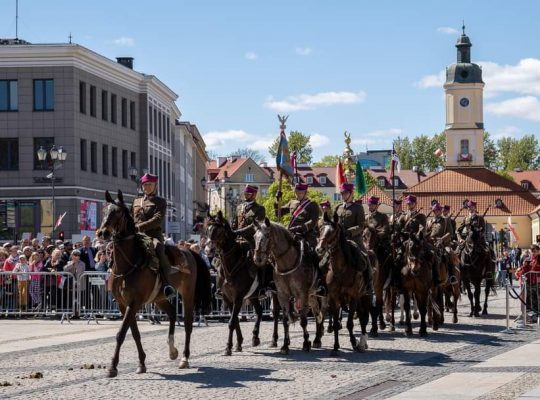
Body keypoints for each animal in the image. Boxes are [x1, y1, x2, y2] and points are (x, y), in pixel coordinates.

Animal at [99, 189, 213, 376]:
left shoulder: (134, 303)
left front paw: (112, 367)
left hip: (187, 293)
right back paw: (172, 350)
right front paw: (141, 363)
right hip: (159, 298)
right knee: (173, 314)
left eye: (118, 212)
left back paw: (184, 358)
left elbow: (121, 333)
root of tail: (189, 251)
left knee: (188, 323)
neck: (128, 264)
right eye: (104, 210)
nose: (102, 233)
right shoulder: (124, 305)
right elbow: (134, 333)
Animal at [205, 212, 276, 356]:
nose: (208, 250)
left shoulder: (238, 297)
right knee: (259, 311)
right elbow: (235, 319)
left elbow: (232, 321)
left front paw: (228, 347)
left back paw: (274, 340)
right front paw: (238, 343)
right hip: (253, 296)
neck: (232, 264)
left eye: (218, 231)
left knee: (277, 315)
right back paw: (255, 337)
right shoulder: (227, 298)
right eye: (207, 229)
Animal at [253, 219, 324, 354]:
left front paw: (306, 343)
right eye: (254, 236)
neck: (287, 263)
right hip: (311, 295)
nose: (257, 259)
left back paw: (317, 339)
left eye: (267, 236)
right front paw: (285, 345)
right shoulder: (282, 295)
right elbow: (285, 320)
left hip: (317, 294)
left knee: (320, 313)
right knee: (316, 312)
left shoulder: (302, 294)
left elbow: (303, 320)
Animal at [316, 214, 372, 354]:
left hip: (365, 296)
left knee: (363, 318)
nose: (319, 249)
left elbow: (350, 323)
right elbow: (336, 322)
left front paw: (353, 343)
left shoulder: (353, 297)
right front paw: (335, 347)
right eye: (321, 229)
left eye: (333, 232)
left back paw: (362, 342)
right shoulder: (333, 298)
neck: (341, 269)